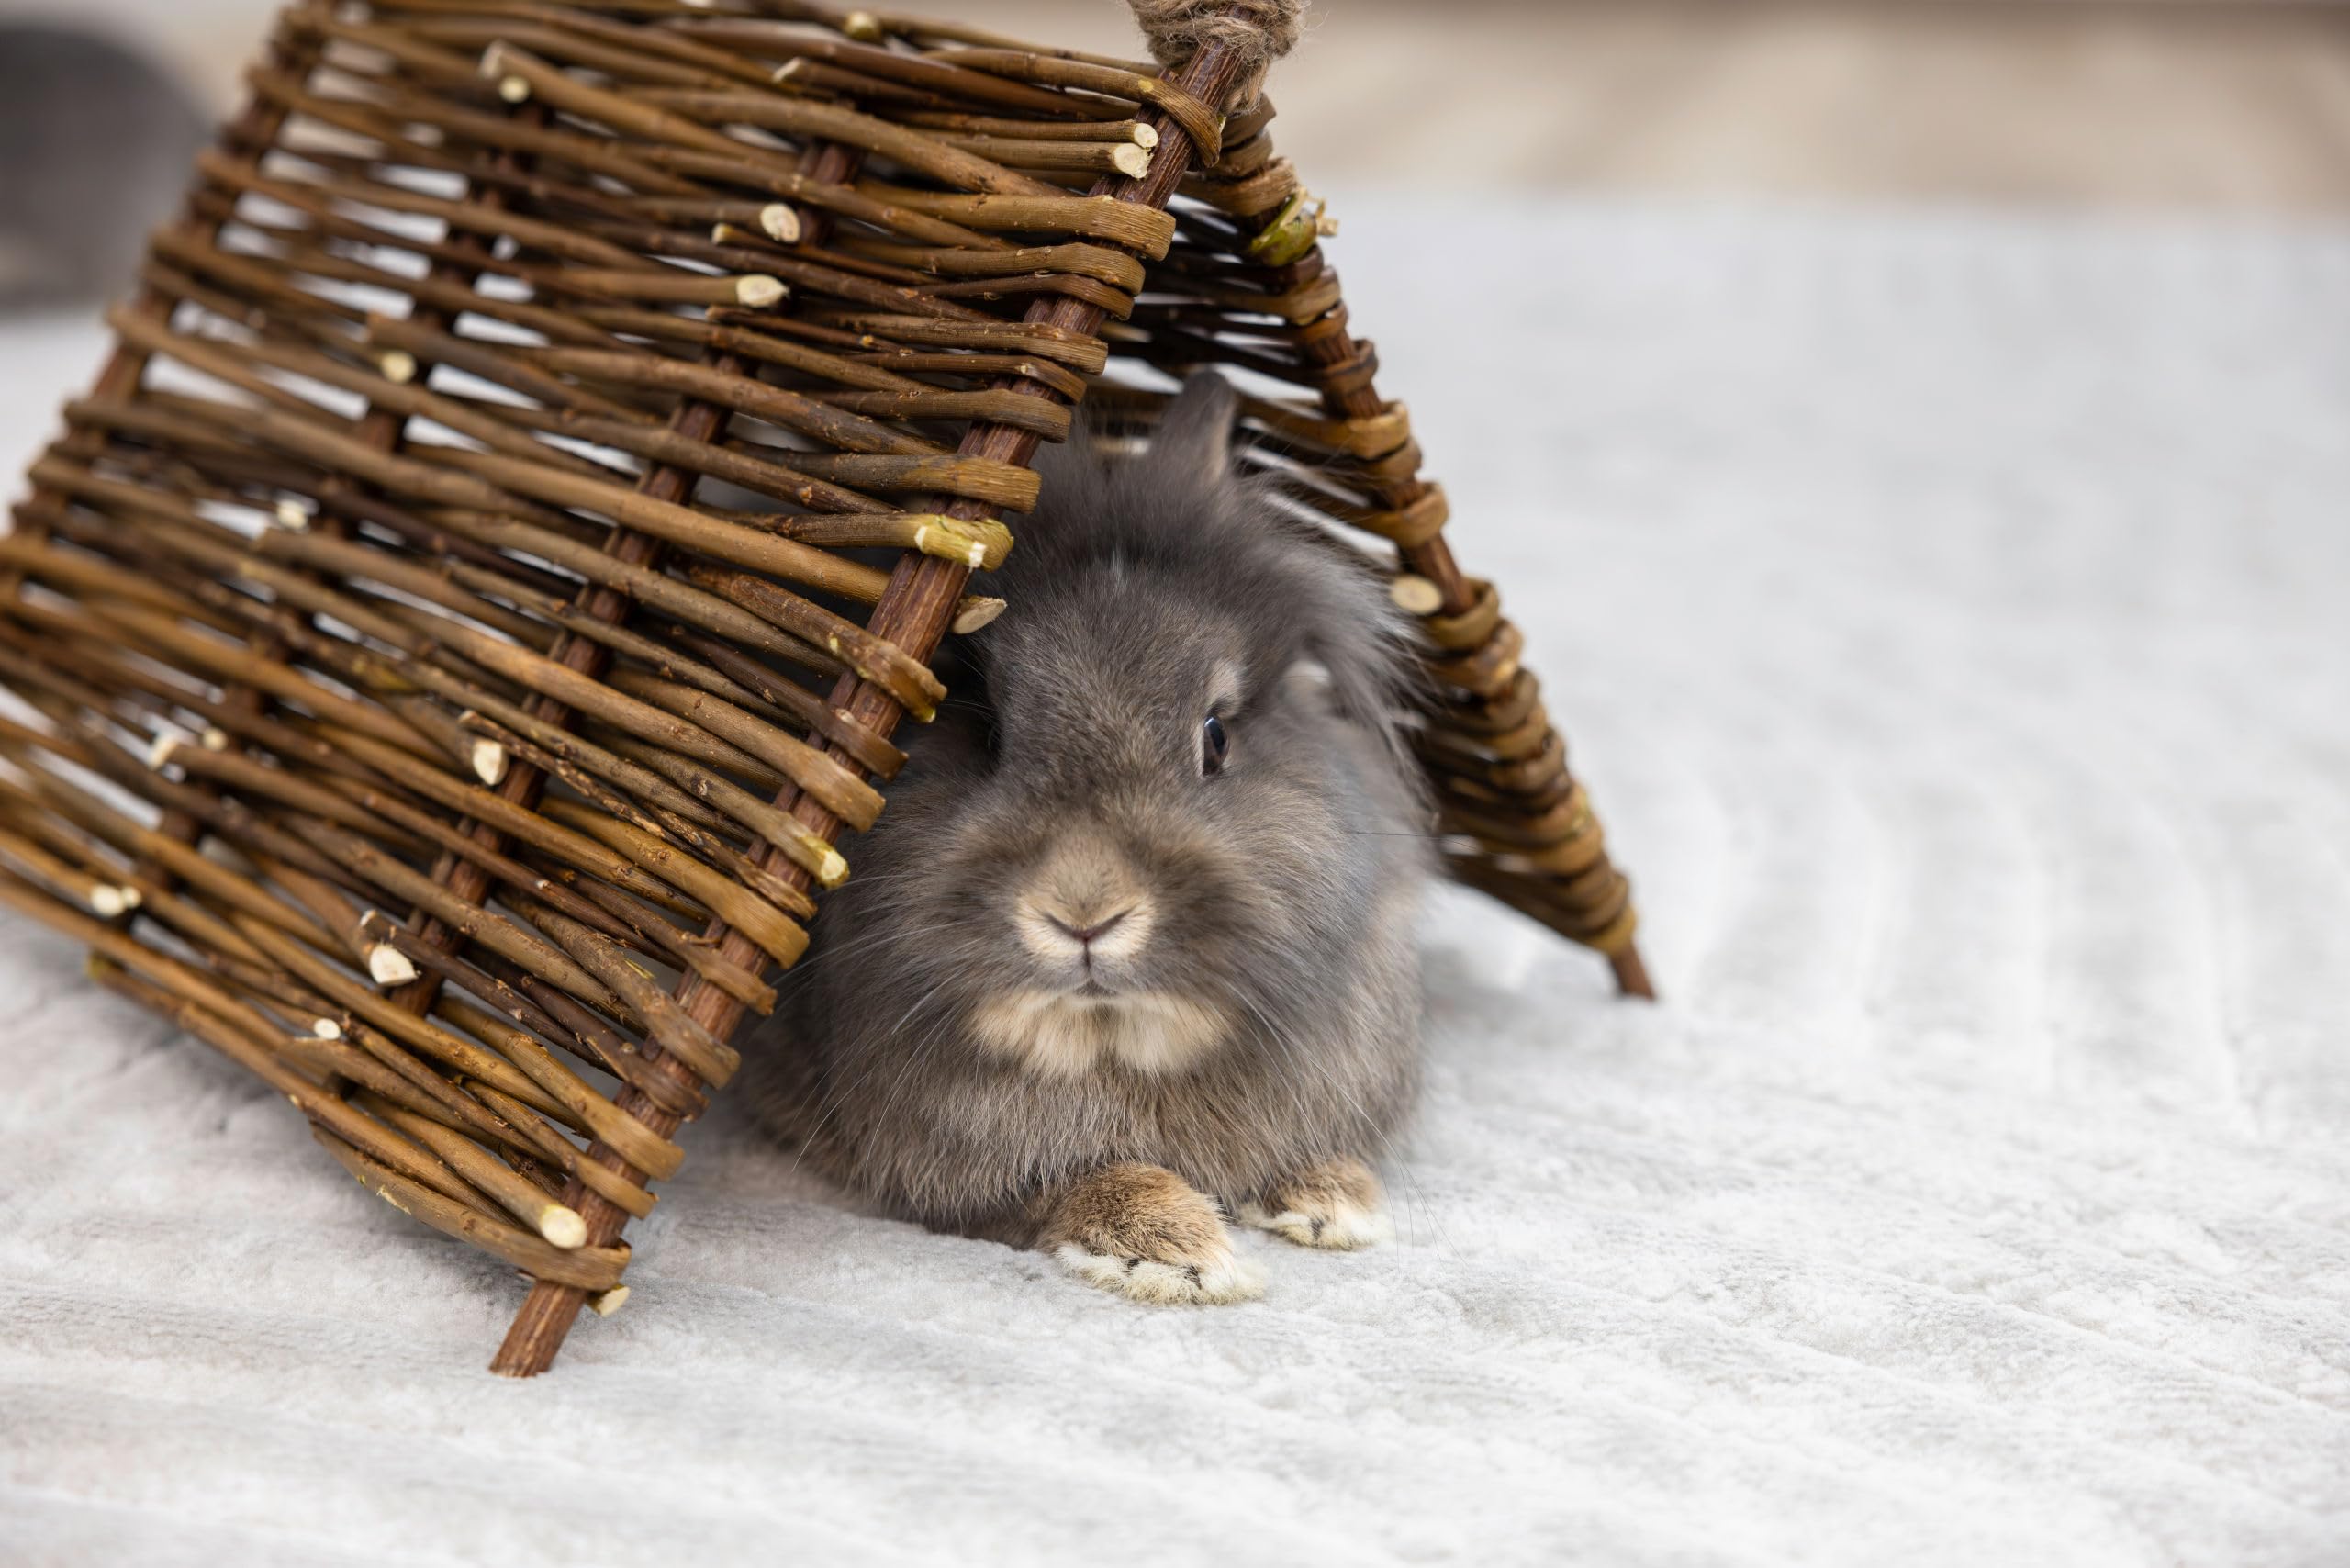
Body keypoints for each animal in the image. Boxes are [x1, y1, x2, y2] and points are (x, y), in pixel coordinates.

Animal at [746, 371, 1432, 1304]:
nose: (1084, 914)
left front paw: (1334, 1201)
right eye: (987, 731)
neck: (1109, 1042)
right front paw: (1185, 1253)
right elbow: (1067, 1191)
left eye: (1216, 736)